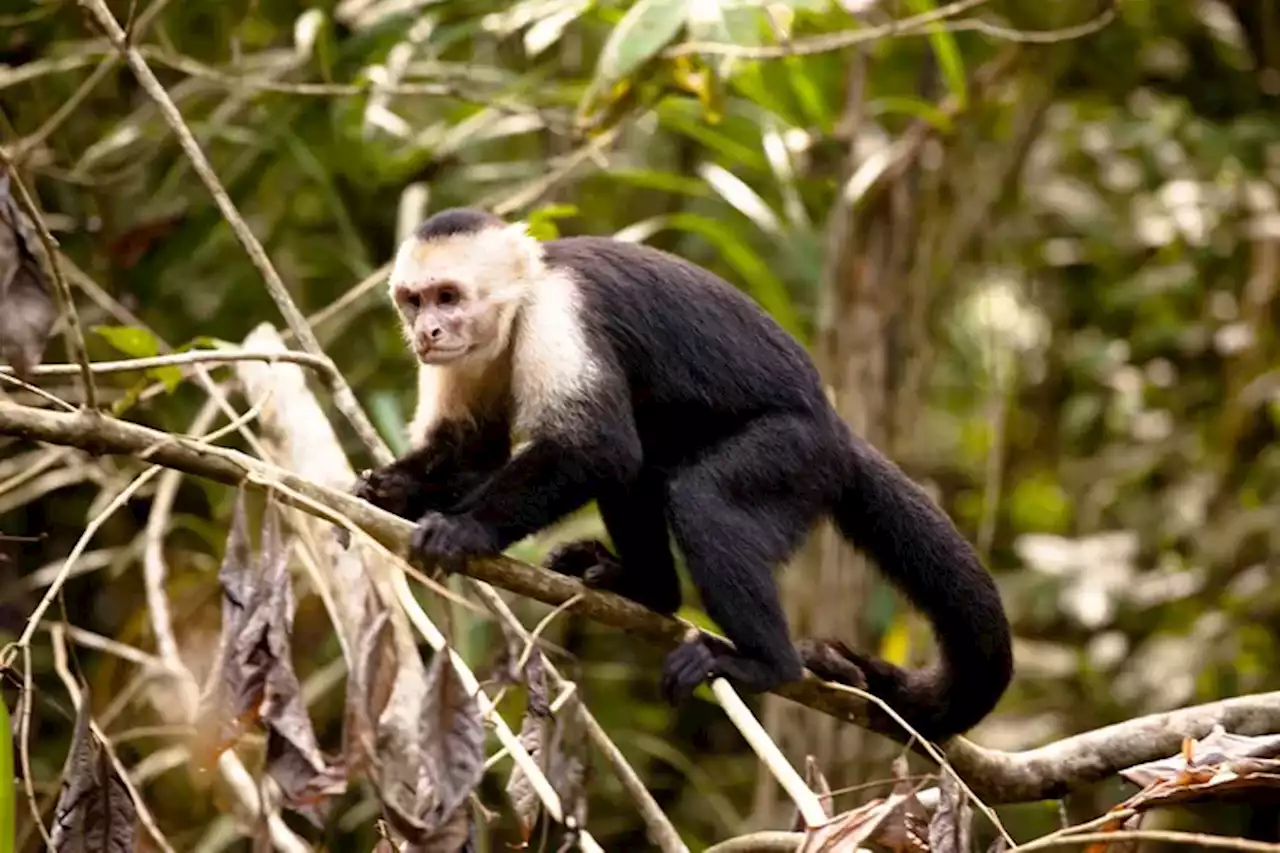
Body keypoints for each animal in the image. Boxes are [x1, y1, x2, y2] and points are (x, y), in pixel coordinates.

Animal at [355, 206, 1013, 737]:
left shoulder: (558, 317)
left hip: (796, 454)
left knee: (701, 498)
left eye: (448, 296)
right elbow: (474, 453)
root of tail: (836, 427)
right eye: (414, 300)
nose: (426, 332)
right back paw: (649, 590)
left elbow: (598, 448)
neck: (520, 304)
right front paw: (386, 492)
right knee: (645, 472)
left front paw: (464, 530)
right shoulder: (466, 359)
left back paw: (764, 663)